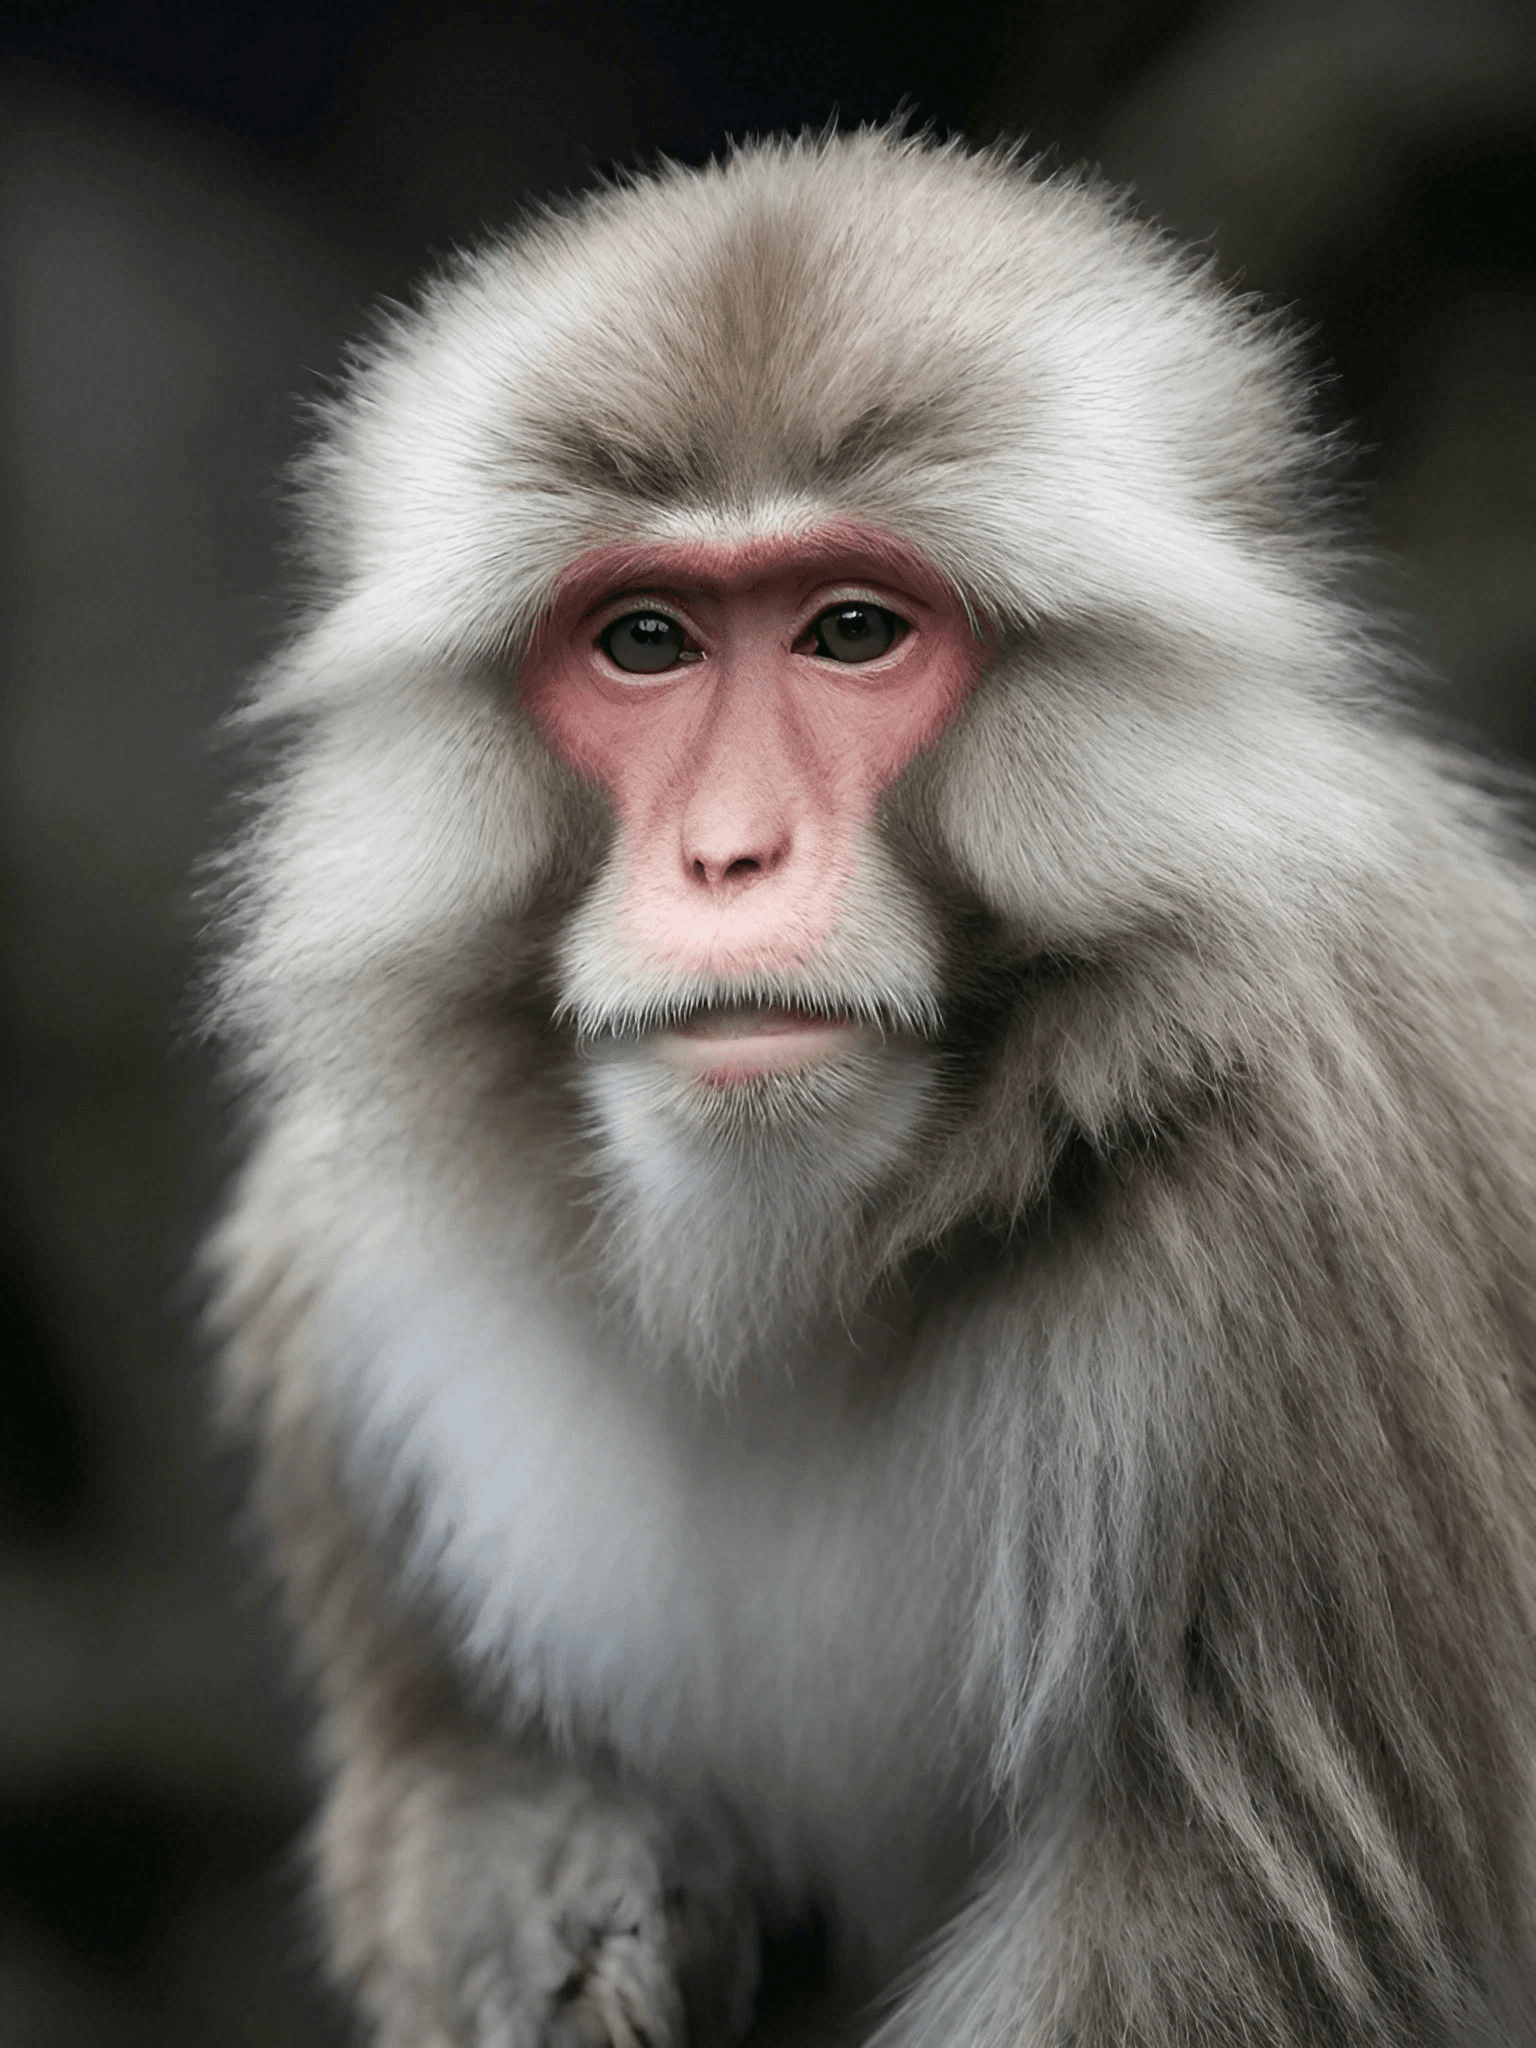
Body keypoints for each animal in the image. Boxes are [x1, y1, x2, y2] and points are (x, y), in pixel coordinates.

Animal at [203, 129, 1536, 2048]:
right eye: (647, 640)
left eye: (848, 630)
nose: (729, 855)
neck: (789, 1273)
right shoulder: (339, 1274)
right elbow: (445, 1776)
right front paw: (593, 1929)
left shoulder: (1321, 1242)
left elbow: (1239, 1935)